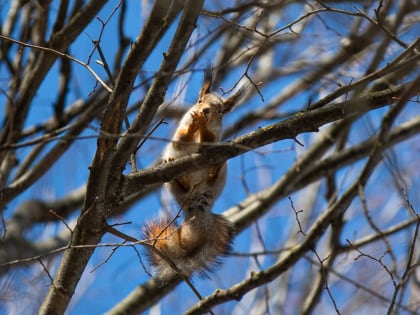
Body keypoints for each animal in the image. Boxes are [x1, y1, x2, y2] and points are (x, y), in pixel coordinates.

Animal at [144, 68, 244, 278]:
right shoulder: (179, 137)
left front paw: (203, 126)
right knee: (181, 184)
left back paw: (214, 170)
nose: (204, 111)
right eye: (199, 101)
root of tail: (197, 204)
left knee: (215, 173)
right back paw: (179, 176)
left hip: (219, 175)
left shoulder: (213, 140)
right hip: (172, 184)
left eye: (220, 111)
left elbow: (209, 141)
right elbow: (181, 140)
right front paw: (194, 122)